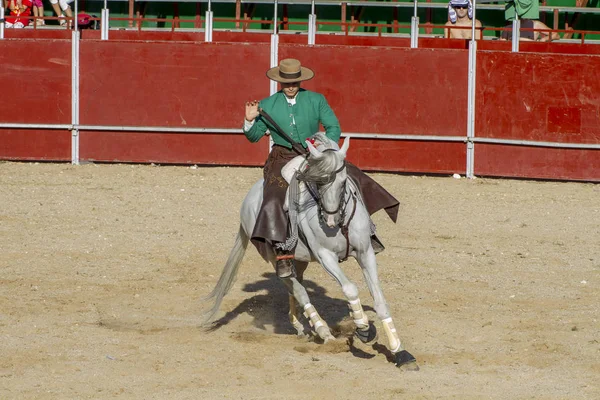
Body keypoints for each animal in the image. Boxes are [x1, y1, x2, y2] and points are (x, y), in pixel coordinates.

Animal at [202, 134, 418, 368]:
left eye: (343, 182)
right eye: (319, 182)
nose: (331, 220)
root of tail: (248, 199)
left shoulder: (365, 252)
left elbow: (380, 300)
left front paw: (400, 351)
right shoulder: (326, 257)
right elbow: (350, 288)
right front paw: (364, 328)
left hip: (300, 259)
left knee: (296, 285)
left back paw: (300, 324)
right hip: (275, 257)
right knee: (297, 289)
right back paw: (324, 332)